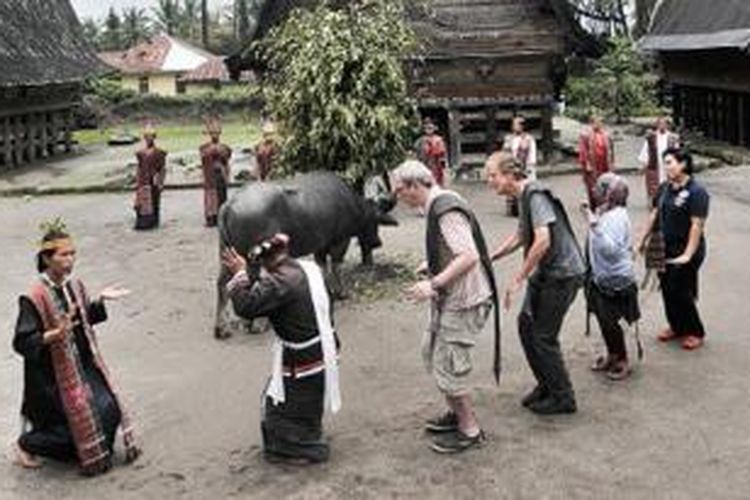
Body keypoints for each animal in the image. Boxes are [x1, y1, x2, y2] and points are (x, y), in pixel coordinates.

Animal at [214, 170, 396, 338]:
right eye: (375, 221)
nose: (377, 242)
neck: (353, 205)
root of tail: (229, 204)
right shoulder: (340, 241)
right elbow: (336, 266)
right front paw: (341, 293)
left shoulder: (320, 245)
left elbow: (322, 266)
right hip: (256, 255)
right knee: (255, 280)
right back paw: (258, 323)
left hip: (228, 253)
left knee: (224, 283)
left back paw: (223, 327)